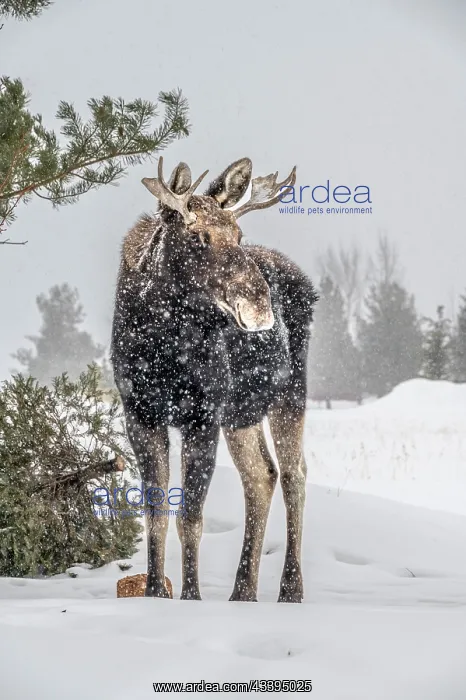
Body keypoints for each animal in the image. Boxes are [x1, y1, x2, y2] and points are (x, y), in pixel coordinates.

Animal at [111, 157, 317, 603]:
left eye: (238, 234)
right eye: (198, 236)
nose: (259, 304)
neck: (162, 345)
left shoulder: (203, 414)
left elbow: (191, 518)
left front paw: (192, 597)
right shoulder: (140, 413)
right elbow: (155, 514)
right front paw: (155, 593)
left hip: (291, 392)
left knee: (295, 474)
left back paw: (290, 589)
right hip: (242, 412)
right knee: (262, 475)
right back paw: (243, 592)